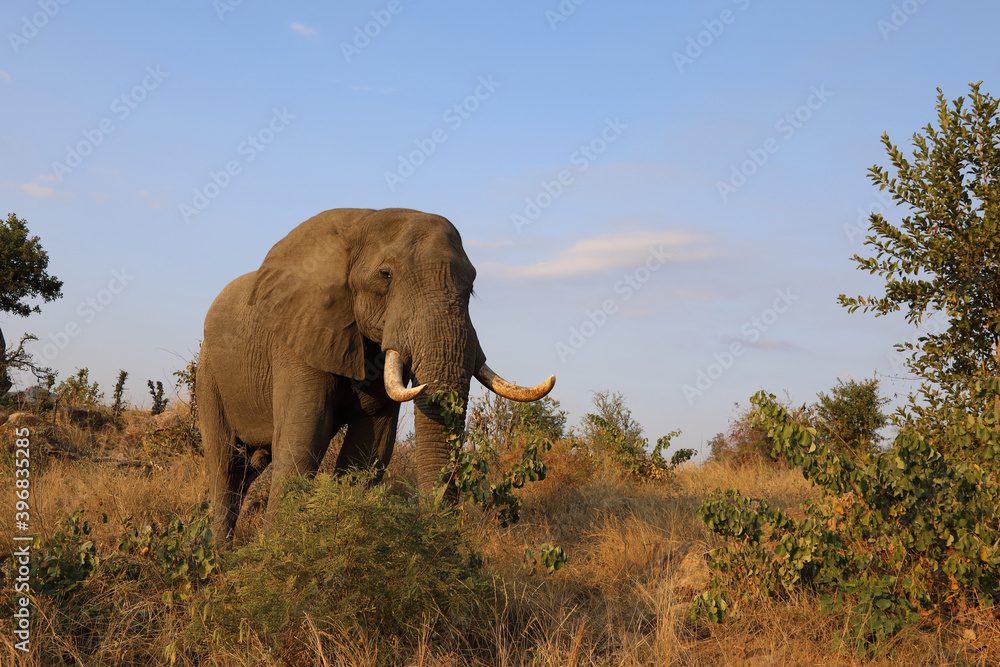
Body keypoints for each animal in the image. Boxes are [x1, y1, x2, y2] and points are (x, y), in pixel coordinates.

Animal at [197, 208, 555, 546]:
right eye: (386, 275)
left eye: (473, 287)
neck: (362, 222)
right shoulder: (295, 340)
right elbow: (303, 437)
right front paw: (275, 553)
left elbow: (369, 446)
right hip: (208, 375)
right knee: (225, 466)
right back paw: (223, 558)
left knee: (249, 467)